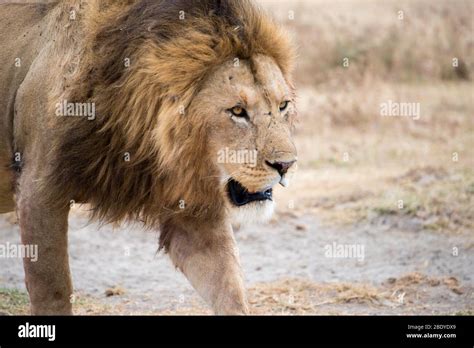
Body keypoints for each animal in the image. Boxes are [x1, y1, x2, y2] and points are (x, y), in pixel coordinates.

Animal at [0, 0, 296, 316]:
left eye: (283, 106)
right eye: (238, 111)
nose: (286, 165)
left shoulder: (191, 211)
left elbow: (229, 287)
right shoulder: (39, 192)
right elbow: (53, 292)